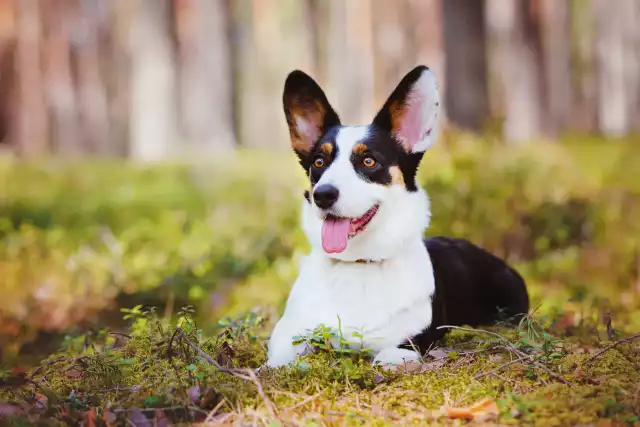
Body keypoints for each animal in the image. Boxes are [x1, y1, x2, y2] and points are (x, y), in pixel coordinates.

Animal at [264, 65, 528, 370]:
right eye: (319, 161)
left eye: (368, 161)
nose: (323, 195)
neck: (359, 264)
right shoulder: (289, 329)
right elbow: (283, 353)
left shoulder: (414, 338)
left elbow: (388, 353)